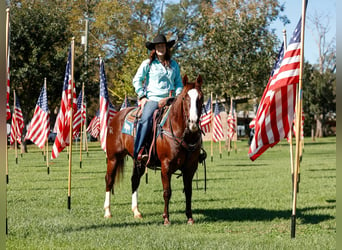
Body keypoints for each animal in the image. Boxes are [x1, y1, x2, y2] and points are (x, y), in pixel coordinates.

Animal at [103, 74, 203, 225]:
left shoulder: (190, 167)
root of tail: (116, 117)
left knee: (134, 180)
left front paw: (190, 217)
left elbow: (189, 192)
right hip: (113, 158)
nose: (193, 123)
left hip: (138, 160)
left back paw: (136, 212)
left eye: (201, 98)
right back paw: (107, 212)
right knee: (109, 179)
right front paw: (166, 218)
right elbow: (167, 191)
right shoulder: (166, 166)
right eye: (185, 98)